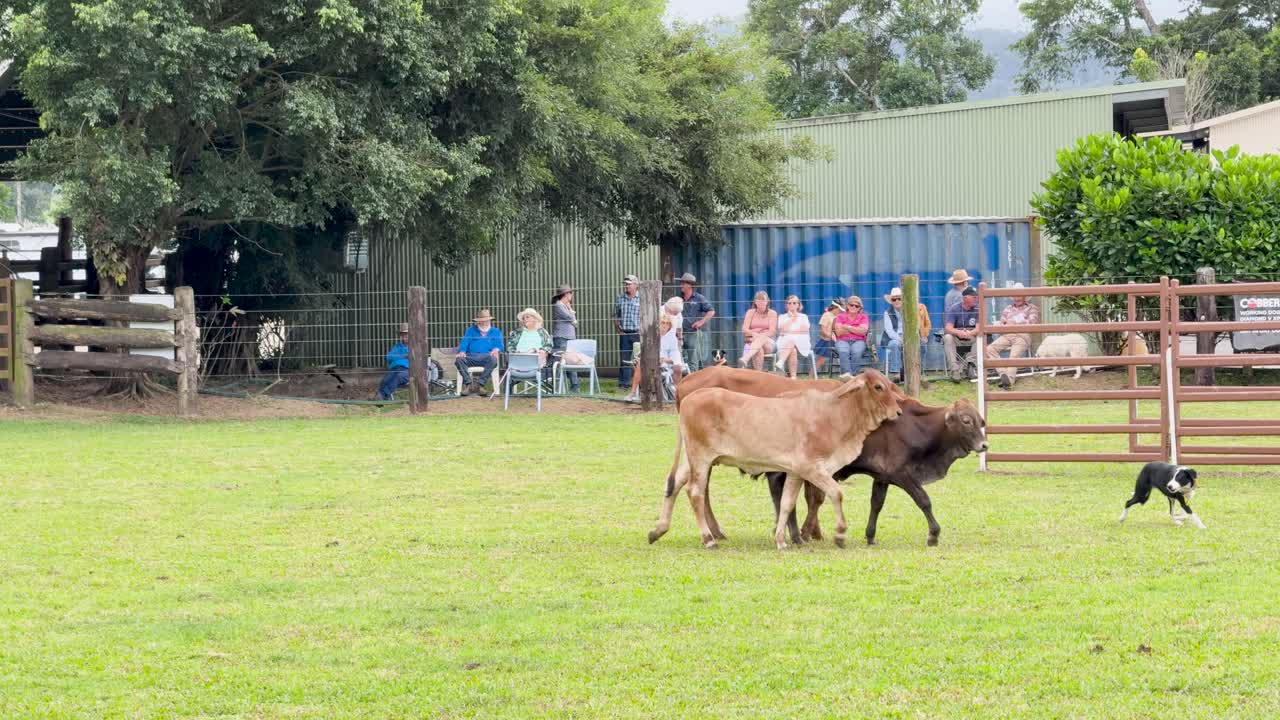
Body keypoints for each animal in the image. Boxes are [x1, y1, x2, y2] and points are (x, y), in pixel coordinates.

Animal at [648, 369, 902, 550]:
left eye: (890, 385)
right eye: (878, 386)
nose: (898, 412)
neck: (835, 413)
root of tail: (690, 398)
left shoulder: (795, 472)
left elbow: (787, 503)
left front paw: (781, 540)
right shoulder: (811, 468)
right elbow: (835, 494)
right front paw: (839, 534)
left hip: (692, 458)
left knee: (674, 484)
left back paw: (658, 530)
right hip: (701, 459)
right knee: (695, 492)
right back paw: (708, 539)